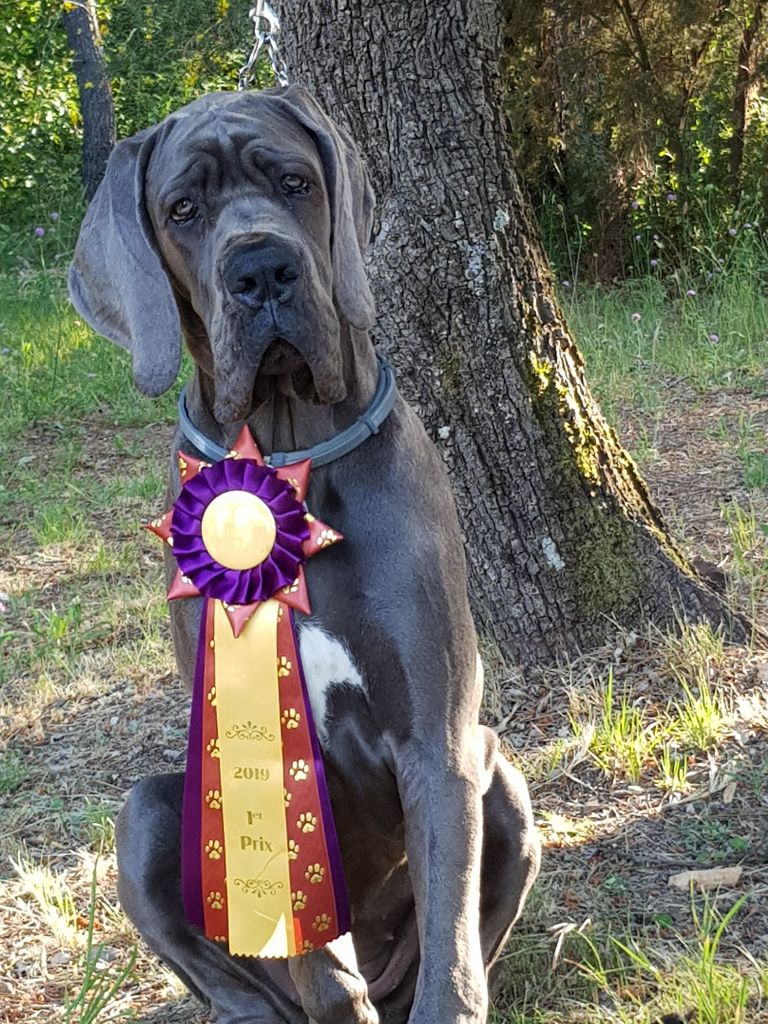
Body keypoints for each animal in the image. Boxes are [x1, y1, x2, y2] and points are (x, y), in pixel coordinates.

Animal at [70, 88, 540, 1024]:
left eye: (294, 182)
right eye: (182, 210)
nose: (261, 270)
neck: (290, 449)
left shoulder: (439, 740)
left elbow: (452, 956)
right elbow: (319, 970)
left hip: (499, 772)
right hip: (146, 816)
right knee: (244, 980)